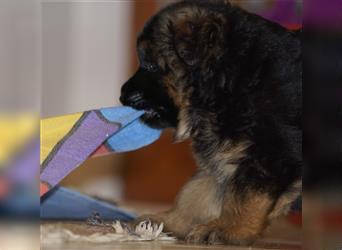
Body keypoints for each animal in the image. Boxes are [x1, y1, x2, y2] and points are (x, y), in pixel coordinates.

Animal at [120, 0, 302, 245]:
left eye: (150, 64)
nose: (122, 96)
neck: (233, 78)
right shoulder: (222, 155)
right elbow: (197, 191)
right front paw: (169, 222)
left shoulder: (271, 152)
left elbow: (245, 195)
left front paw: (229, 229)